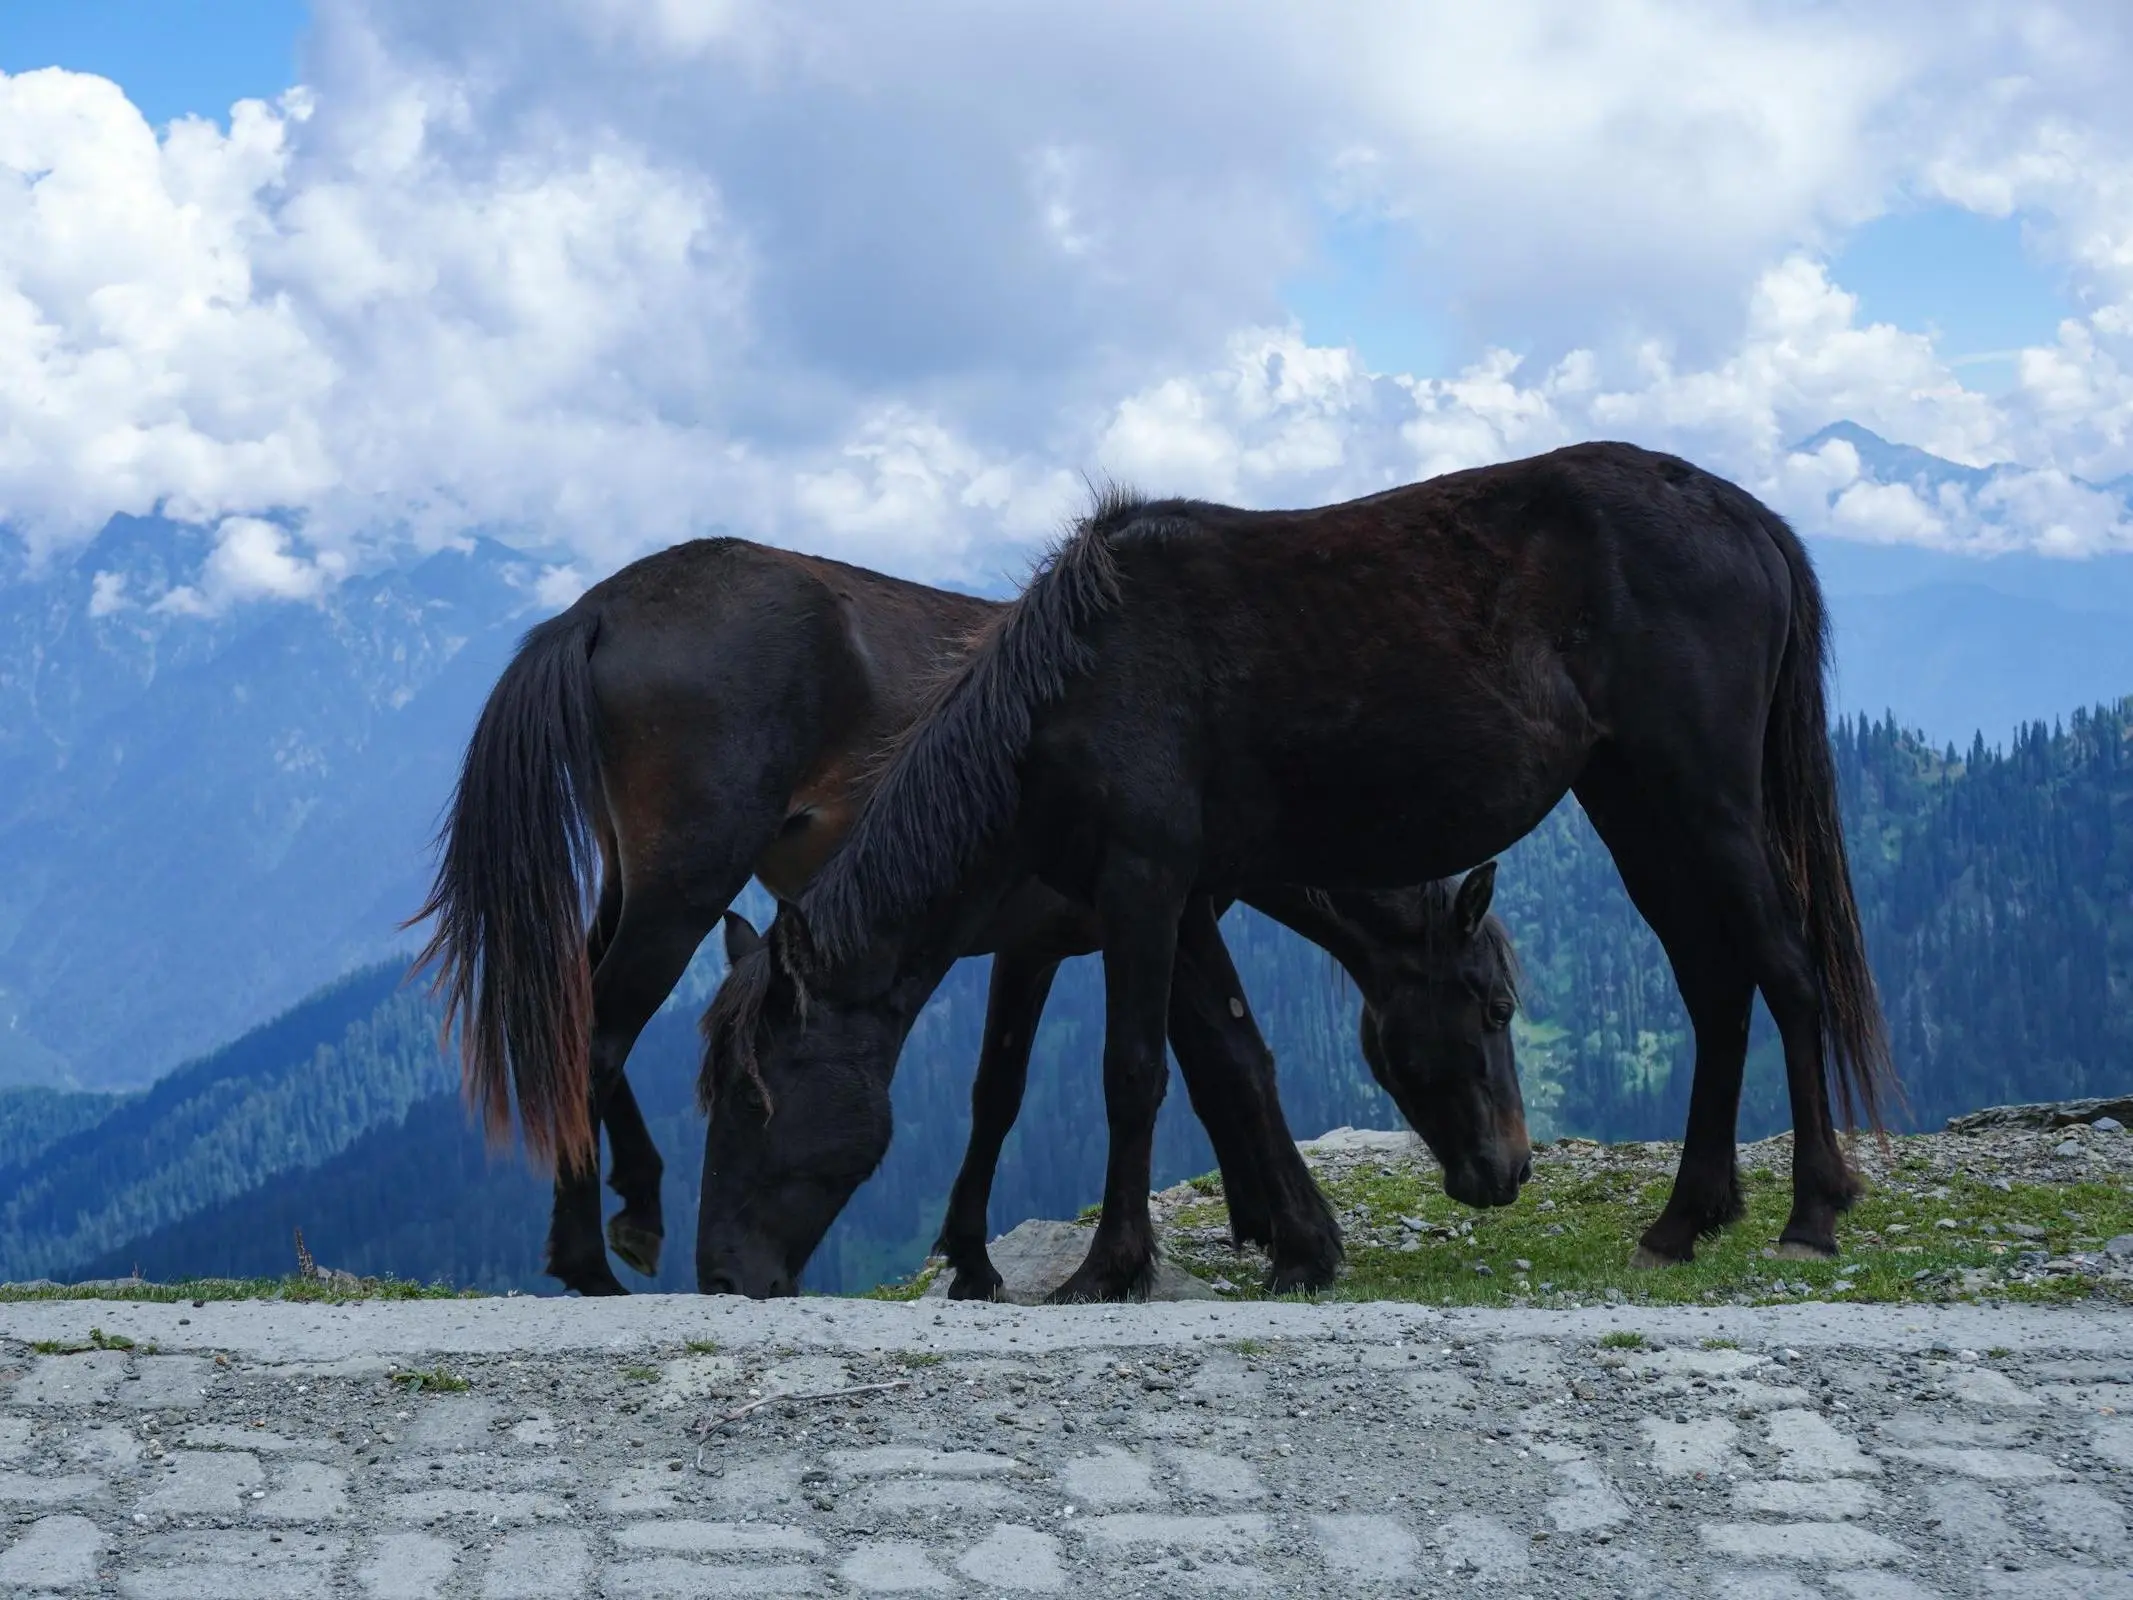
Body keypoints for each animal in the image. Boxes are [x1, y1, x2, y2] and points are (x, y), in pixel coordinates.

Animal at [407, 539, 1527, 1305]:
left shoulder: (1037, 944)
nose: (1507, 1169)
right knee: (596, 1037)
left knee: (578, 1019)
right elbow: (1231, 1060)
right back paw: (591, 1261)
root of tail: (597, 608)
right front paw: (1292, 1235)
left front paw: (979, 1256)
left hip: (633, 889)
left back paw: (630, 1210)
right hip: (681, 885)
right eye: (1493, 1007)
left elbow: (1007, 1089)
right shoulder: (1170, 913)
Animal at [708, 439, 1894, 1305]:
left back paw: (1810, 1214)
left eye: (754, 1100)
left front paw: (1109, 1268)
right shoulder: (1177, 900)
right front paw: (1299, 1246)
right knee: (1713, 980)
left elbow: (1132, 1070)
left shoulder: (1141, 888)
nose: (723, 1276)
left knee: (1786, 969)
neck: (1072, 681)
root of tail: (1743, 516)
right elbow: (1232, 1058)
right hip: (1636, 804)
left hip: (1708, 802)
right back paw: (1684, 1220)